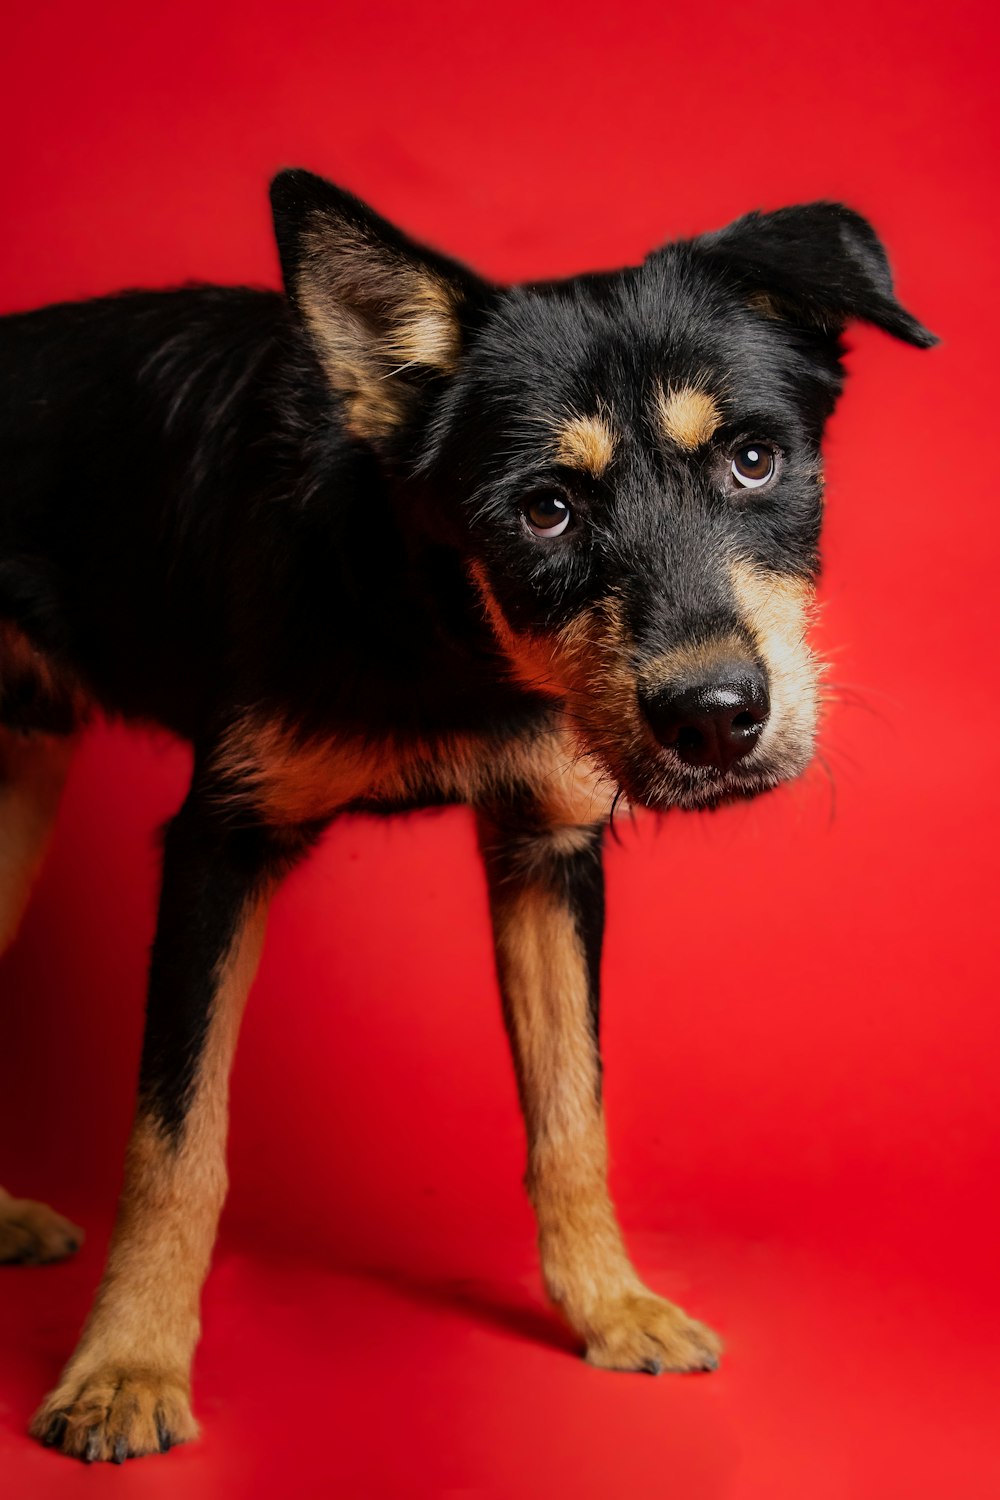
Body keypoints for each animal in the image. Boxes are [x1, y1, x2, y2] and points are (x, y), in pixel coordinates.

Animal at [0, 170, 941, 1458]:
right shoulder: (219, 843)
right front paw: (127, 1367)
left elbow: (572, 1106)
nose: (712, 720)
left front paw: (609, 1308)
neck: (440, 620)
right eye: (543, 511)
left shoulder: (546, 851)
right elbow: (174, 1141)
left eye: (754, 459)